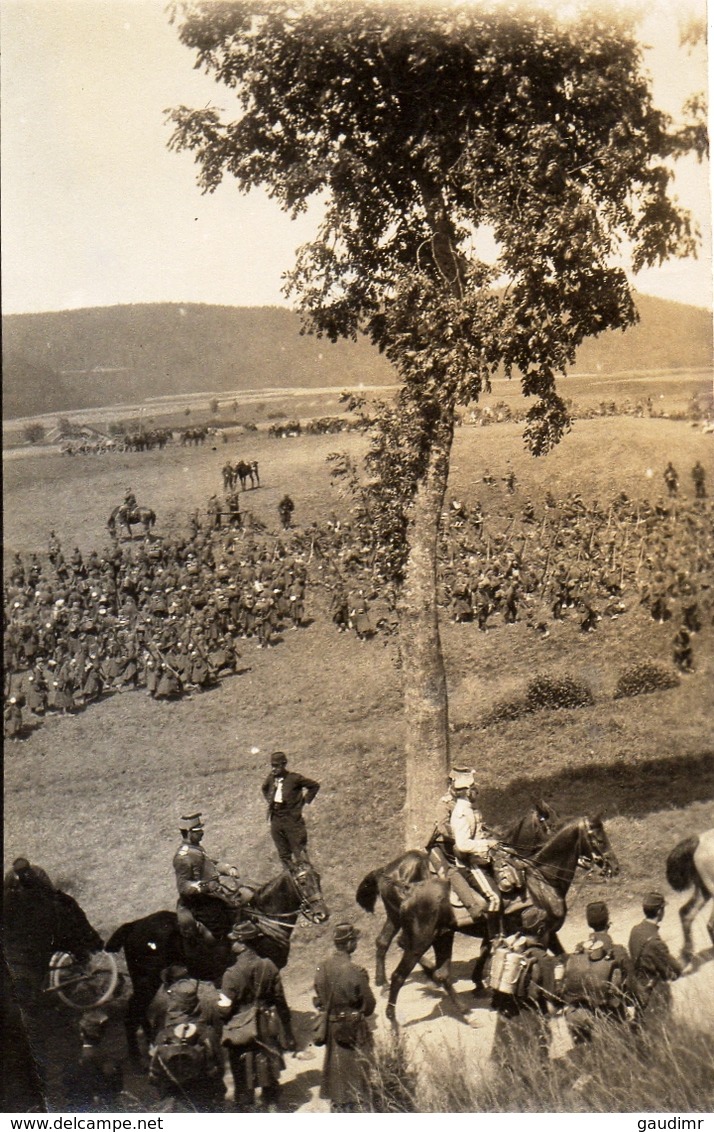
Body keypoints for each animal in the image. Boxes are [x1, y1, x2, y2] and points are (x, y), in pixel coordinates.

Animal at [106, 860, 330, 1055]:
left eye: (318, 877)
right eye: (302, 881)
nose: (322, 914)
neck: (263, 920)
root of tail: (133, 926)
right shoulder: (270, 970)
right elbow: (280, 1009)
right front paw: (289, 1044)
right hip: (146, 982)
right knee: (131, 1016)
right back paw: (139, 1061)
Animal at [357, 810, 620, 1023]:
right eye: (599, 838)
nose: (615, 868)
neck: (541, 881)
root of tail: (399, 879)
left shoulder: (525, 932)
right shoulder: (542, 932)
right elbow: (553, 960)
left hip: (435, 933)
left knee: (402, 951)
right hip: (419, 938)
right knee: (400, 969)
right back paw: (393, 1013)